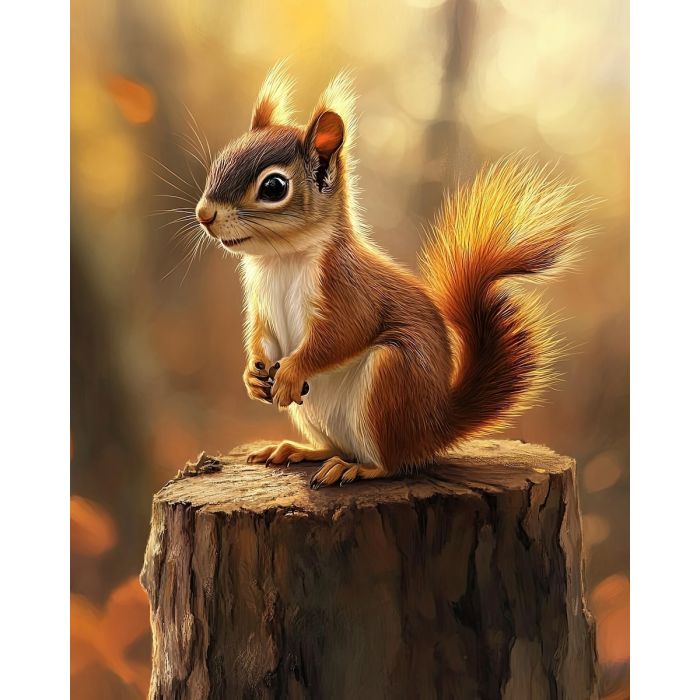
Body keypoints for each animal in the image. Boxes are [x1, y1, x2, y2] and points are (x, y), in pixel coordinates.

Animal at [193, 64, 591, 488]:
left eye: (273, 186)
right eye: (221, 160)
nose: (204, 214)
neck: (281, 260)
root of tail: (433, 429)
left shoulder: (347, 288)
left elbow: (342, 334)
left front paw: (293, 371)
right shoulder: (260, 302)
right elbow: (260, 337)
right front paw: (252, 376)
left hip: (391, 379)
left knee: (392, 463)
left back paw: (356, 468)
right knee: (336, 446)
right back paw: (299, 450)